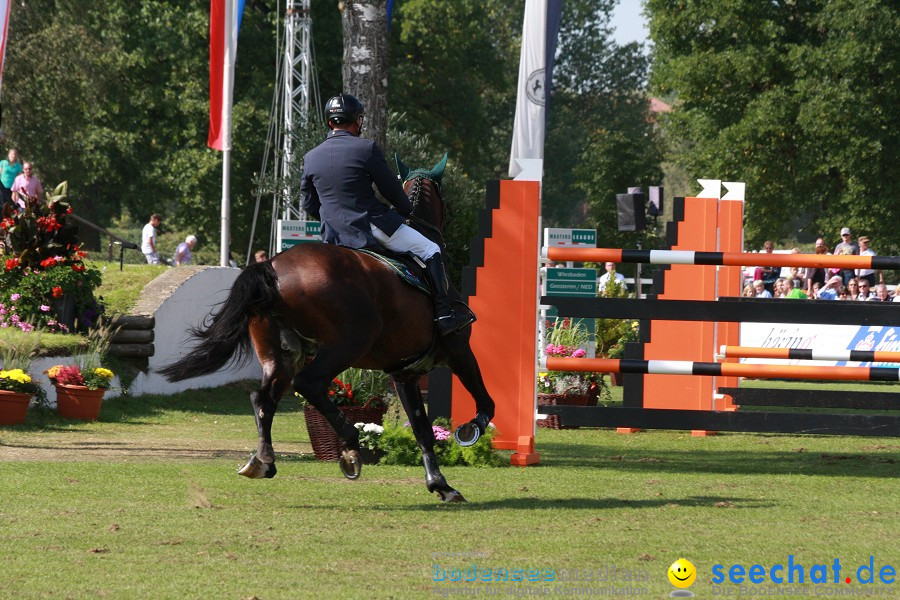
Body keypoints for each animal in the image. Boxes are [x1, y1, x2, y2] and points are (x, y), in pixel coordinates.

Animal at [163, 155, 500, 502]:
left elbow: (422, 429)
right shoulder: (458, 350)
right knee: (309, 384)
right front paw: (470, 431)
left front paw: (440, 484)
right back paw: (350, 446)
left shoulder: (404, 372)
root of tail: (272, 266)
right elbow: (486, 402)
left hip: (281, 354)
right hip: (346, 344)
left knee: (263, 399)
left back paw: (264, 461)